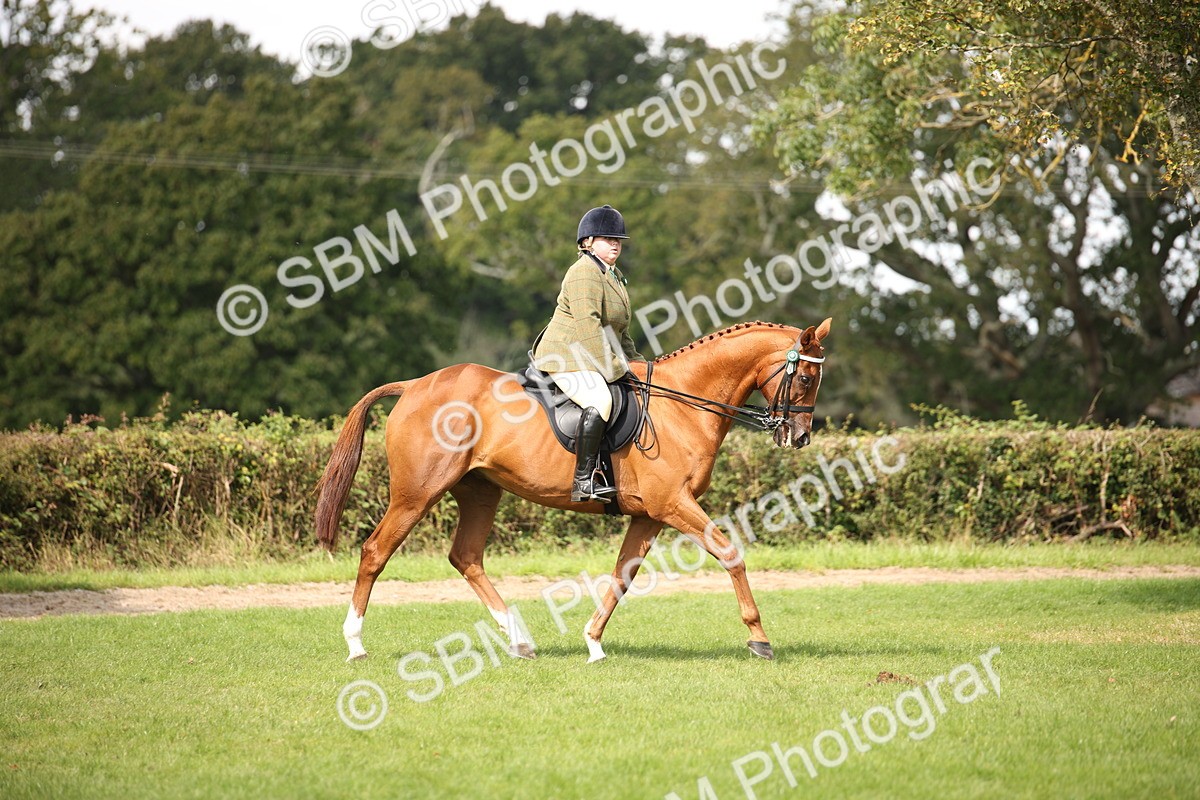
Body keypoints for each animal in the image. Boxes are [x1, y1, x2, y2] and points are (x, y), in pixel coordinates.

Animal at [315, 318, 832, 662]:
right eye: (805, 378)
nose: (799, 437)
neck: (684, 404)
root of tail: (414, 385)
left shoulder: (650, 515)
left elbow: (623, 575)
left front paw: (593, 642)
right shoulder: (673, 505)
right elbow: (730, 554)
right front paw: (759, 638)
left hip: (479, 491)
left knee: (466, 557)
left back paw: (519, 639)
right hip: (416, 494)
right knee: (375, 551)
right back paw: (355, 644)